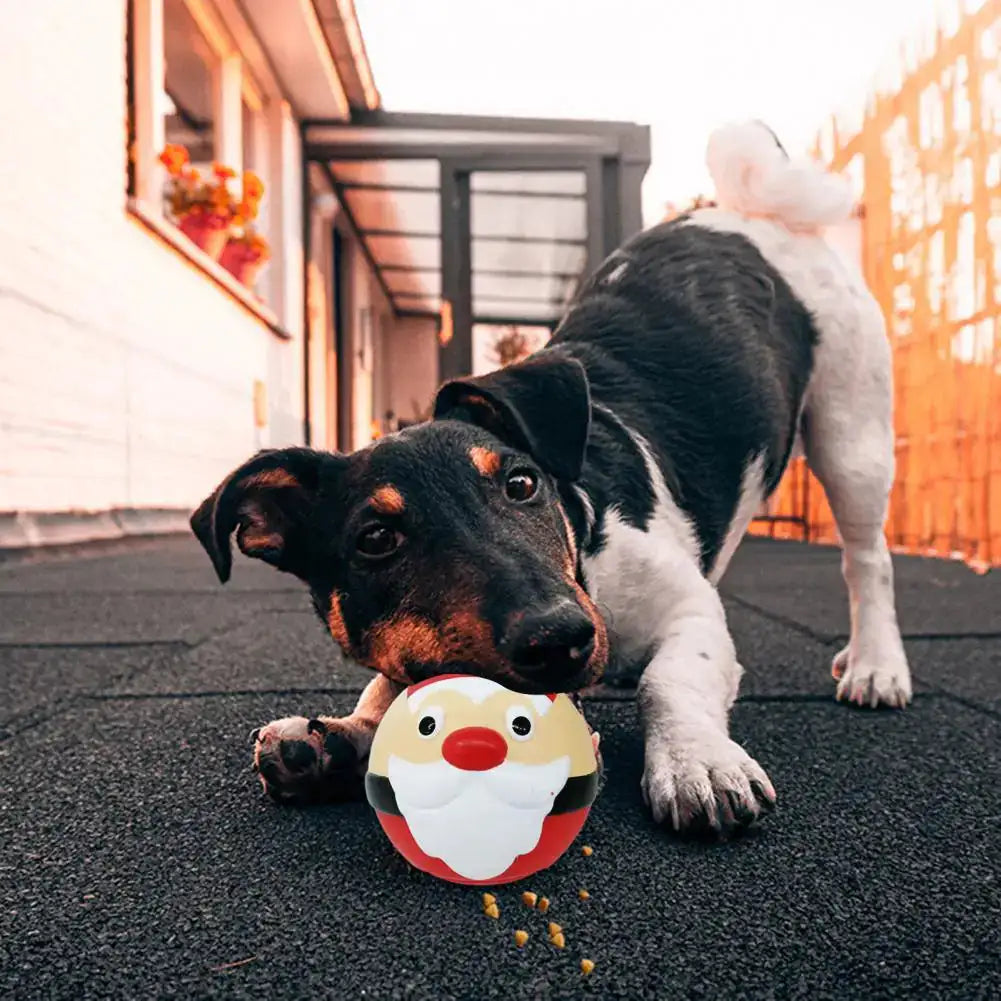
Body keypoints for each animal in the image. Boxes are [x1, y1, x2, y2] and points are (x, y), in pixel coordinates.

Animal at [189, 121, 916, 832]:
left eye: (520, 484)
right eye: (375, 539)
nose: (561, 636)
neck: (581, 543)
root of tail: (751, 212)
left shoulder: (689, 611)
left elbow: (670, 679)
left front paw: (696, 761)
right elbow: (390, 692)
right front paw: (338, 737)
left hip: (852, 436)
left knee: (867, 562)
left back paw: (874, 665)